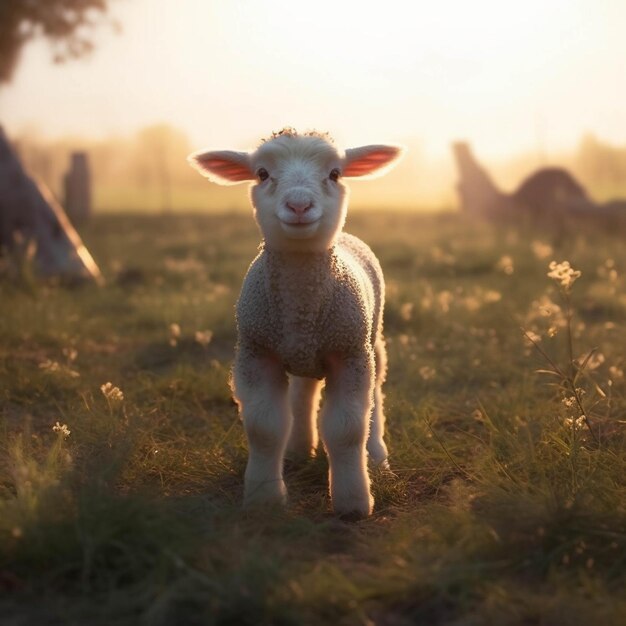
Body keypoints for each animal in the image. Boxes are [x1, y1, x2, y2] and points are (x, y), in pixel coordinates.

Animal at [188, 128, 402, 516]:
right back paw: (301, 449)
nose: (299, 206)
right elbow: (265, 428)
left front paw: (353, 502)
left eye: (335, 173)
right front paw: (264, 499)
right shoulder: (256, 352)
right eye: (262, 173)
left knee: (376, 394)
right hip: (308, 352)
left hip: (371, 340)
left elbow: (348, 429)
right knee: (304, 393)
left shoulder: (349, 354)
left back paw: (377, 456)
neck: (300, 309)